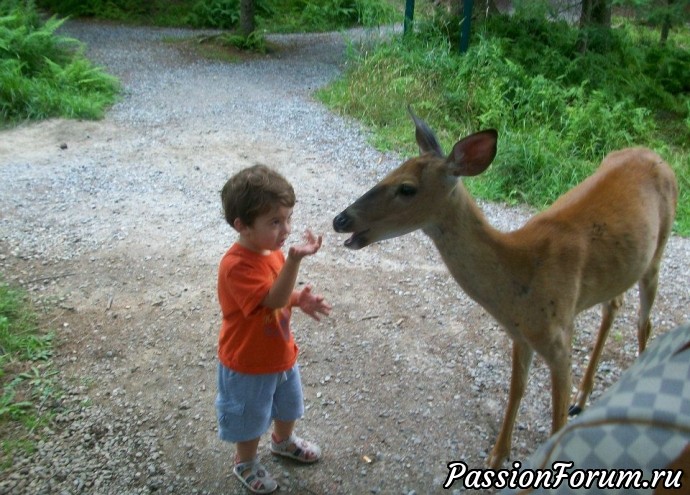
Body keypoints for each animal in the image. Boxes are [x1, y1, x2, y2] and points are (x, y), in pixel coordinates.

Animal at [330, 108, 676, 468]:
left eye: (407, 188)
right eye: (391, 171)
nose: (340, 220)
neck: (521, 278)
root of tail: (657, 157)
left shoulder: (559, 336)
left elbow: (556, 421)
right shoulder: (519, 335)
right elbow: (516, 390)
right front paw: (496, 457)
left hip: (658, 250)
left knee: (644, 322)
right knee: (615, 305)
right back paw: (582, 398)